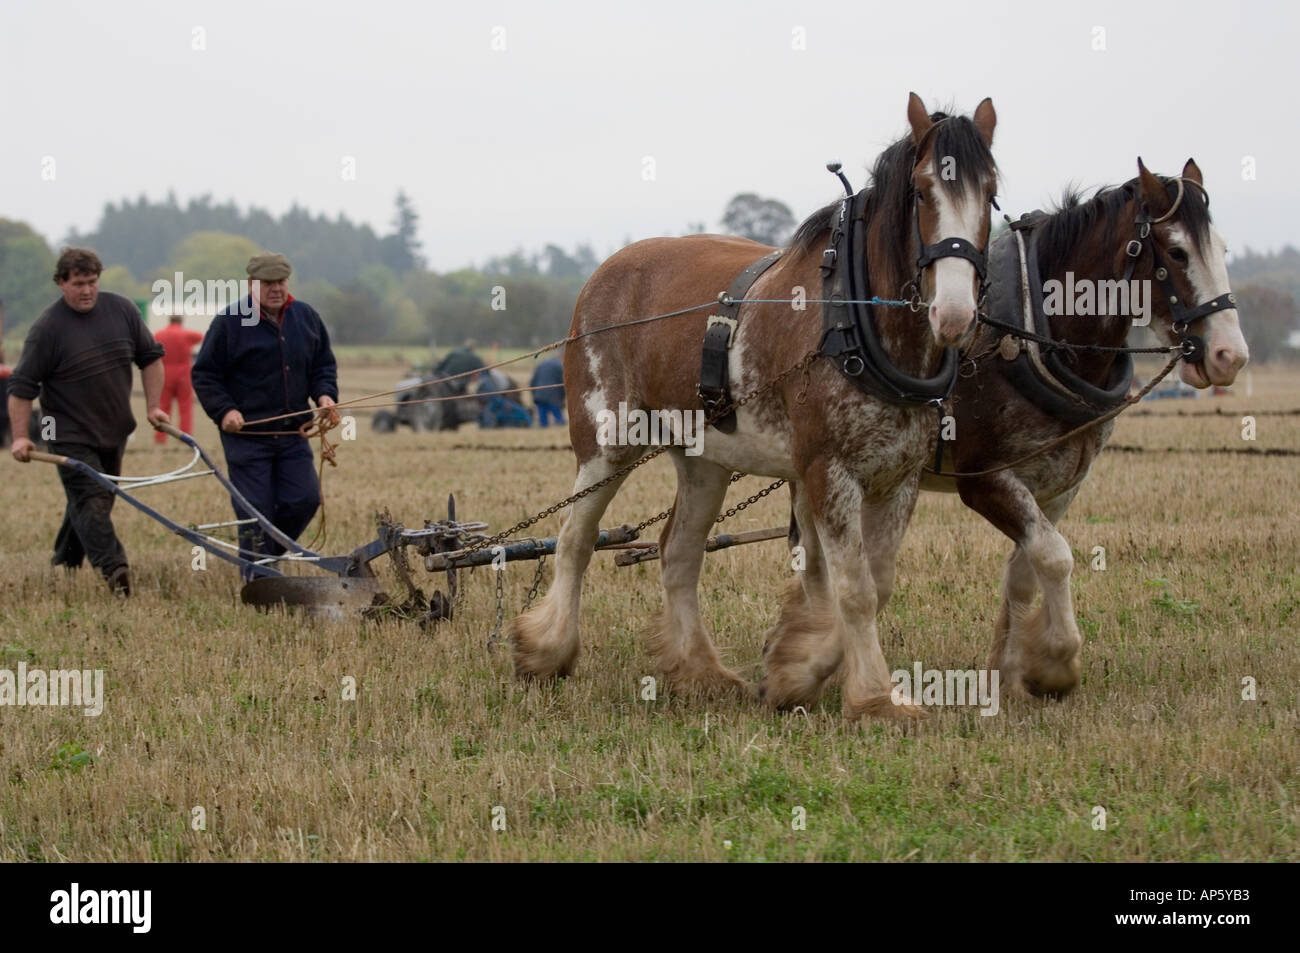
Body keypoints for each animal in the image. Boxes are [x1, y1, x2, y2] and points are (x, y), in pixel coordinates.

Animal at [501, 92, 998, 717]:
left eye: (991, 193)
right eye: (923, 191)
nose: (954, 315)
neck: (858, 322)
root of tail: (607, 271)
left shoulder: (897, 476)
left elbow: (874, 582)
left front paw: (798, 669)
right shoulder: (828, 470)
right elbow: (854, 589)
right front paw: (870, 697)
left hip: (705, 461)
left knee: (678, 552)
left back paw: (700, 672)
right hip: (605, 442)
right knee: (574, 540)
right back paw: (548, 652)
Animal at [785, 157, 1253, 696]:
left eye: (1222, 249)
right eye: (1176, 251)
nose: (1229, 355)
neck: (1034, 333)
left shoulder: (1059, 486)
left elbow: (1026, 571)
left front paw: (1007, 674)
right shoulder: (986, 481)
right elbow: (1055, 555)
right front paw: (1055, 661)